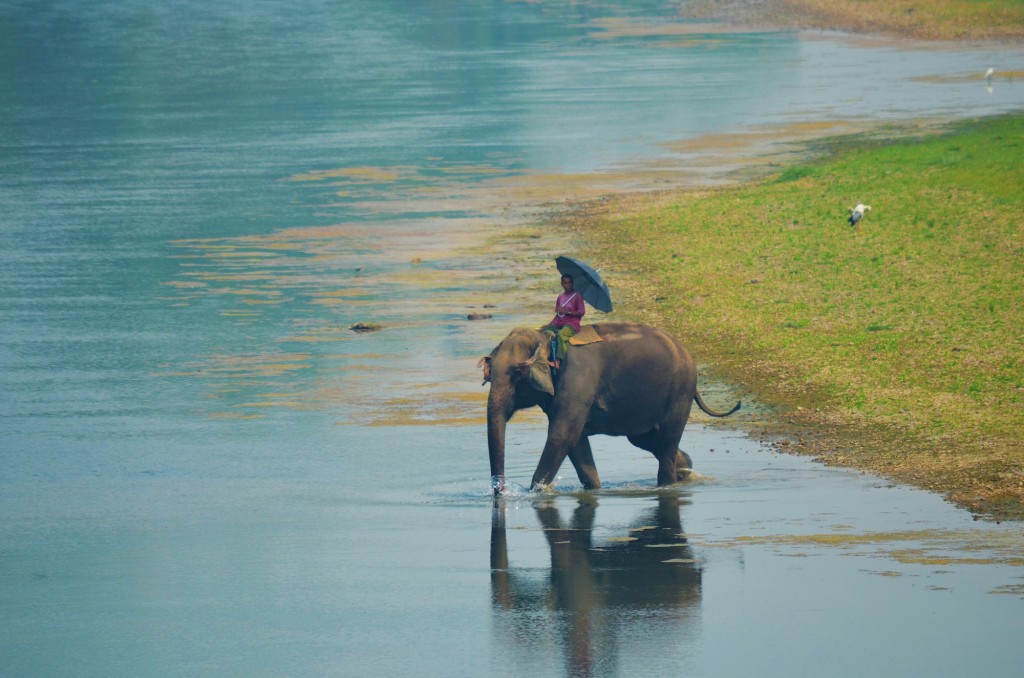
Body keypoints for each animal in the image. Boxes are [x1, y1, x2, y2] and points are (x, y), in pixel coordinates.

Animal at [475, 323, 741, 493]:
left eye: (517, 374)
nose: (501, 492)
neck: (547, 338)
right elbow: (576, 443)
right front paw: (594, 489)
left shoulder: (578, 381)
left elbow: (563, 435)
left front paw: (536, 492)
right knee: (648, 440)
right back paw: (686, 469)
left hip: (680, 391)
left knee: (667, 441)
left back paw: (668, 484)